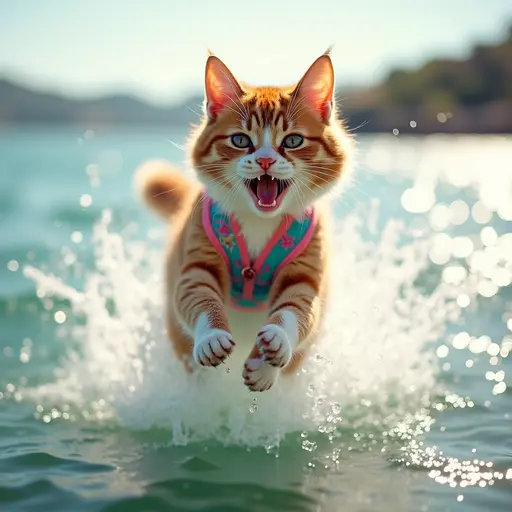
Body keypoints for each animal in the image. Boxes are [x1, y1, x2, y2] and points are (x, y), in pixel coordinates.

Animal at [135, 49, 352, 392]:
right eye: (240, 140)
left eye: (292, 141)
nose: (264, 160)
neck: (259, 220)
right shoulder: (196, 263)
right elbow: (200, 298)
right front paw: (211, 337)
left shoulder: (306, 276)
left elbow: (296, 310)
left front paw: (270, 354)